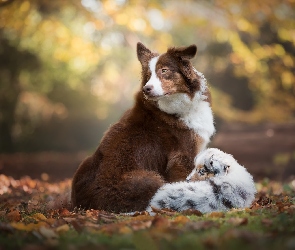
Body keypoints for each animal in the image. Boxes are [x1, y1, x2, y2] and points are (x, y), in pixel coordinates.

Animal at [71, 43, 215, 213]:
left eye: (164, 70)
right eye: (148, 75)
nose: (147, 89)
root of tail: (90, 206)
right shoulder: (183, 157)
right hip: (149, 179)